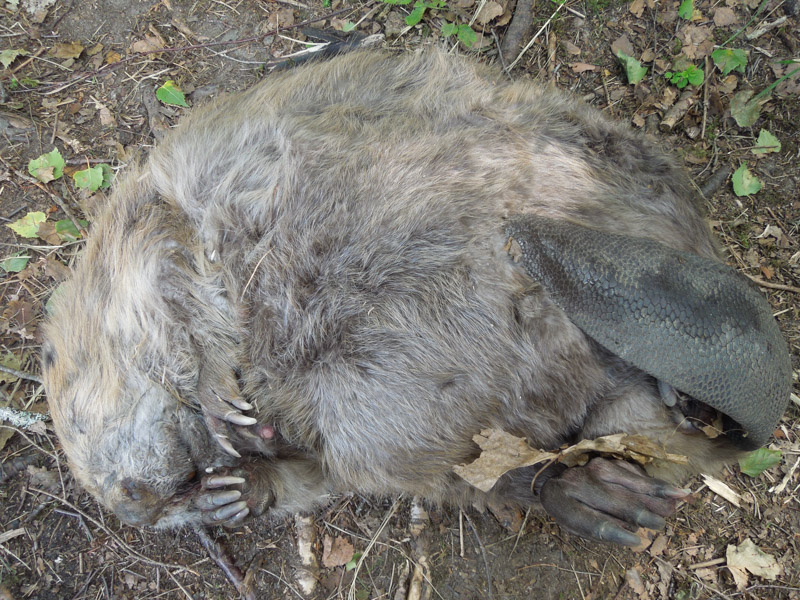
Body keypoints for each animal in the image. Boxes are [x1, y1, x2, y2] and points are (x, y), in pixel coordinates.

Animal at [42, 50, 791, 547]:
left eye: (75, 419)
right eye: (176, 510)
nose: (143, 504)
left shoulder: (161, 214)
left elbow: (177, 279)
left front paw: (222, 404)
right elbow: (317, 471)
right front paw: (241, 489)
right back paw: (608, 499)